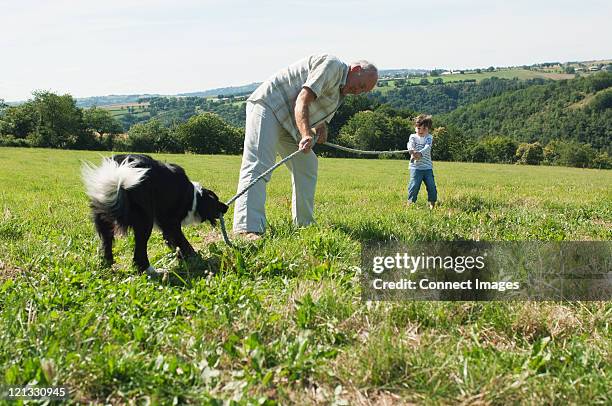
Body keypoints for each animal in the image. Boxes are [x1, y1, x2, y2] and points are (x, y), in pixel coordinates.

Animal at [80, 155, 226, 272]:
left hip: (103, 217)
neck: (194, 197)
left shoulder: (166, 225)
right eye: (216, 201)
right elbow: (182, 241)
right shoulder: (171, 222)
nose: (226, 207)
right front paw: (195, 257)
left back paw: (108, 264)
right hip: (145, 221)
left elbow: (174, 241)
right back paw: (150, 269)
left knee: (107, 242)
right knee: (140, 251)